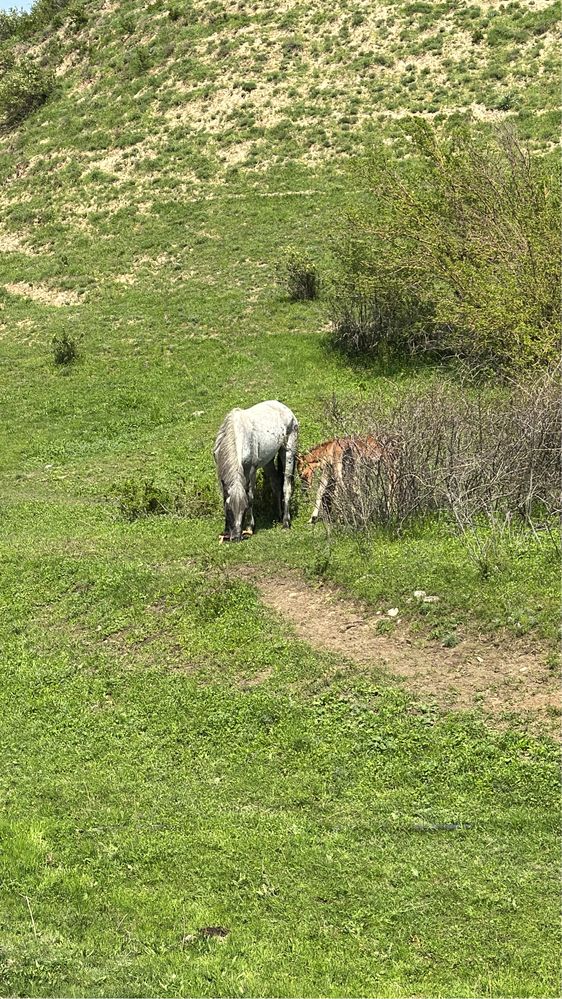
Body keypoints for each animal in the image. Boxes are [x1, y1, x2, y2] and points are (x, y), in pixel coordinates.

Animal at [212, 398, 298, 544]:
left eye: (244, 509)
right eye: (229, 510)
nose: (236, 537)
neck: (236, 434)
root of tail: (285, 409)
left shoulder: (250, 470)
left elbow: (250, 497)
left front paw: (250, 527)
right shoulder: (221, 473)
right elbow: (224, 497)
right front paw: (225, 530)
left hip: (288, 452)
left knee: (286, 486)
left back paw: (286, 522)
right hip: (268, 461)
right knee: (276, 484)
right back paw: (279, 516)